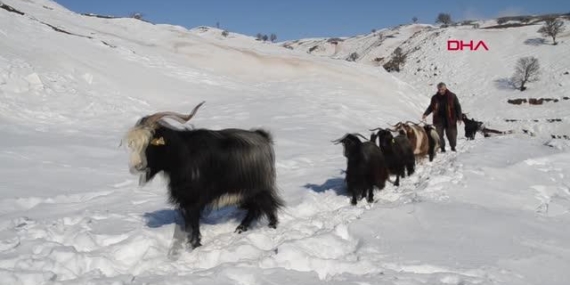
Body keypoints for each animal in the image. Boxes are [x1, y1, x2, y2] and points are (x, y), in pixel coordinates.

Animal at [124, 101, 284, 248]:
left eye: (149, 143)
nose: (136, 166)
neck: (181, 154)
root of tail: (263, 137)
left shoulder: (193, 198)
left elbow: (194, 221)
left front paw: (195, 245)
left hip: (257, 187)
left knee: (268, 205)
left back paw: (271, 227)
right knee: (256, 208)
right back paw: (240, 229)